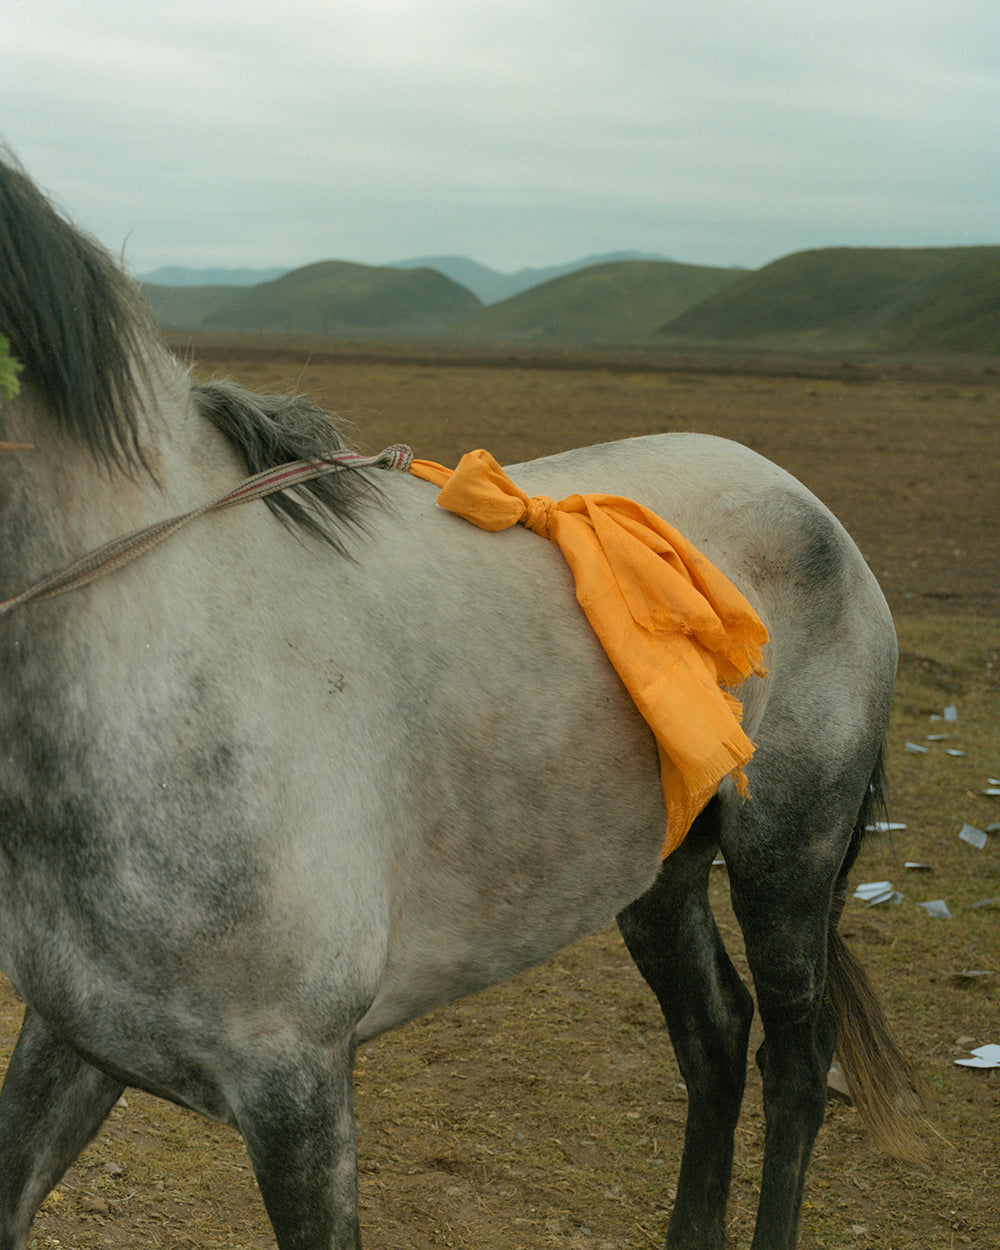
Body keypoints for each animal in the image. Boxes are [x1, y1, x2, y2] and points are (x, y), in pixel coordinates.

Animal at [0, 150, 922, 1250]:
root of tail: (813, 511)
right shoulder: (72, 1038)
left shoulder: (296, 1087)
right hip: (657, 873)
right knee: (713, 1035)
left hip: (787, 860)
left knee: (794, 1064)